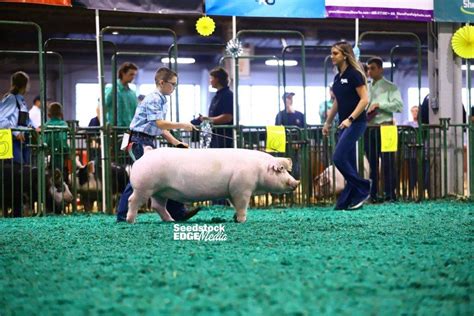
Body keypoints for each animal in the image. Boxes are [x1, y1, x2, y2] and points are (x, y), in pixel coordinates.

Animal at [125, 148, 296, 223]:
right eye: (281, 170)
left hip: (159, 191)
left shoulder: (232, 190)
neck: (258, 170)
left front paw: (235, 218)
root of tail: (145, 155)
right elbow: (242, 205)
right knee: (132, 200)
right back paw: (131, 221)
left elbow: (235, 205)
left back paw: (171, 221)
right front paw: (242, 220)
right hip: (143, 187)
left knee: (157, 206)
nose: (296, 182)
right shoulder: (242, 188)